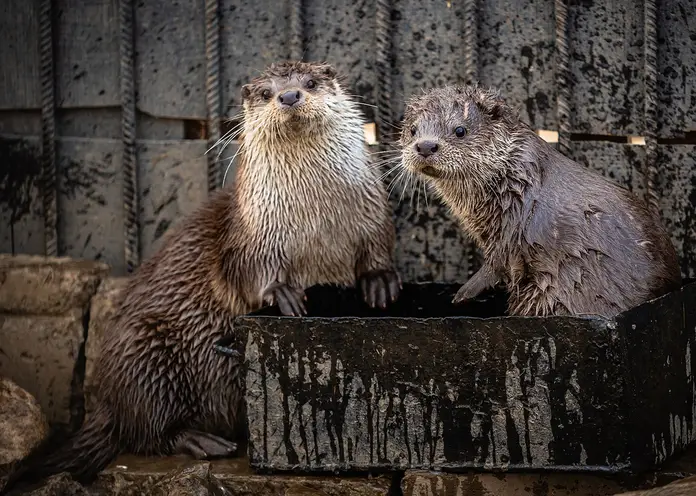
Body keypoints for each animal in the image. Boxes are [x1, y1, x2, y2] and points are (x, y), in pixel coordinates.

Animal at [2, 60, 400, 490]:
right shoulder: (252, 233)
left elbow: (378, 245)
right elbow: (248, 270)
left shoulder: (371, 212)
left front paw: (380, 280)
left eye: (310, 82)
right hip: (144, 350)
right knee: (143, 431)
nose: (289, 95)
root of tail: (106, 401)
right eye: (266, 92)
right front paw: (283, 292)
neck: (316, 223)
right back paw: (199, 439)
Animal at [396, 84, 680, 318]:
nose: (426, 146)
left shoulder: (514, 224)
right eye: (413, 130)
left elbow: (499, 260)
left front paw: (463, 293)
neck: (514, 180)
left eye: (460, 130)